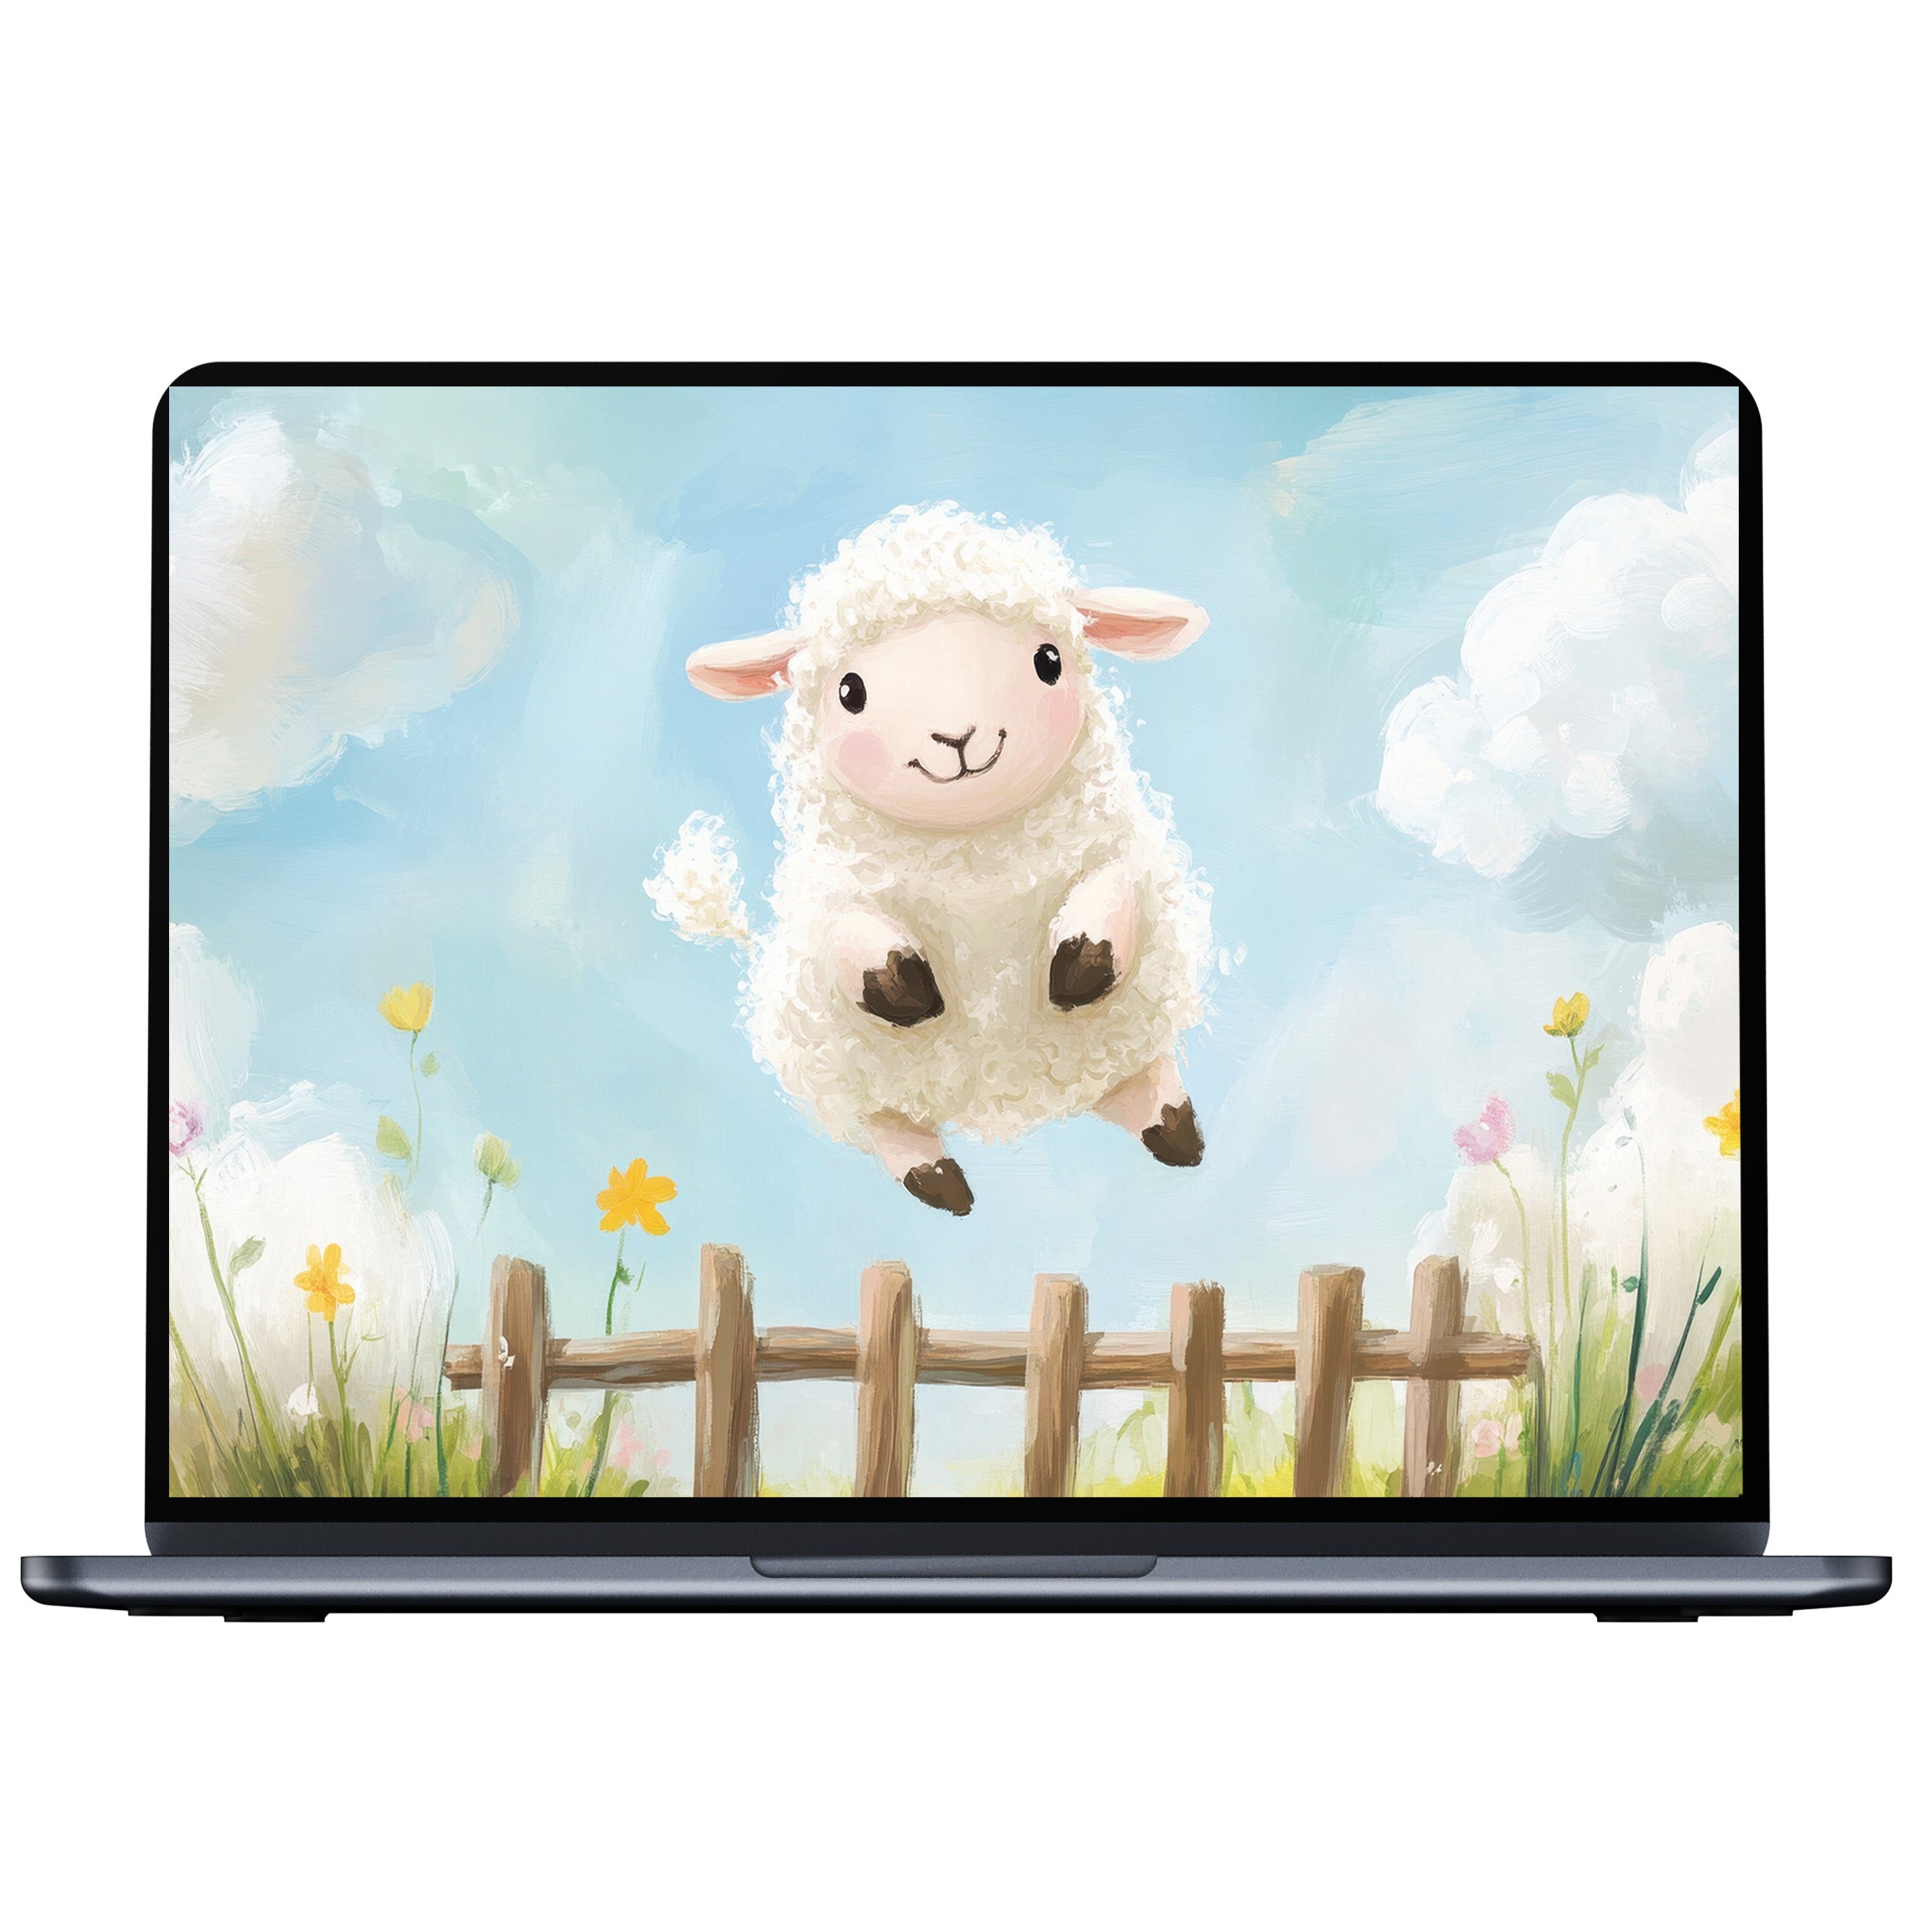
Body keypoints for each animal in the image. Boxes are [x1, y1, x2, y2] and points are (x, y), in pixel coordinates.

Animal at [645, 503, 1213, 1215]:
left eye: (1049, 660)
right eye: (850, 691)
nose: (958, 736)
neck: (971, 850)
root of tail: (1010, 1098)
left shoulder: (1114, 854)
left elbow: (1105, 899)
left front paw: (1077, 971)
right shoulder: (833, 898)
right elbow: (857, 938)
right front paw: (905, 990)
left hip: (1117, 1041)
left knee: (1140, 1081)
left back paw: (1177, 1134)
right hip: (854, 1076)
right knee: (890, 1127)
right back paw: (941, 1183)